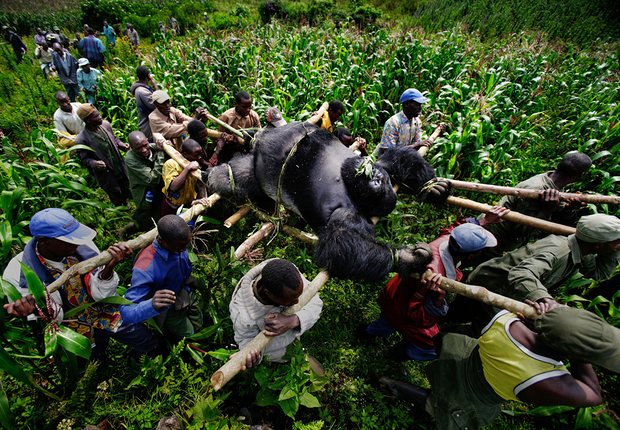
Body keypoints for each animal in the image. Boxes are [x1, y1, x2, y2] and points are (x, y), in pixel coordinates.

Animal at [206, 122, 448, 282]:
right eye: (375, 181)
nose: (375, 180)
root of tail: (259, 139)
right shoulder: (348, 207)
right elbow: (338, 243)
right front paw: (406, 258)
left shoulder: (374, 170)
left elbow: (398, 157)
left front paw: (432, 189)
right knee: (233, 178)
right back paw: (218, 174)